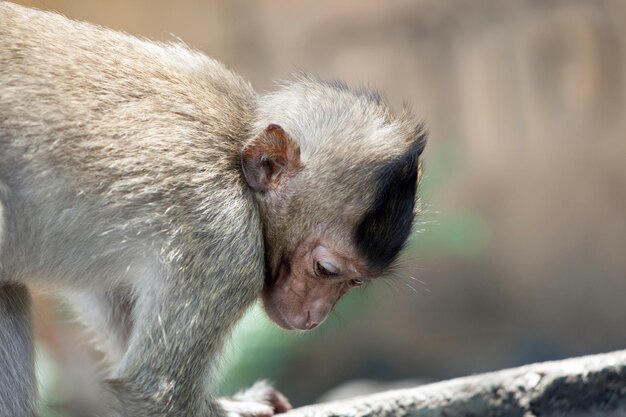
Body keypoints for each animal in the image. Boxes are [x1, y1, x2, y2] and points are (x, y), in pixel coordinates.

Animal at [0, 3, 424, 416]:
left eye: (353, 283)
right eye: (326, 270)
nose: (313, 318)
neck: (236, 151)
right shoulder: (225, 243)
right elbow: (152, 394)